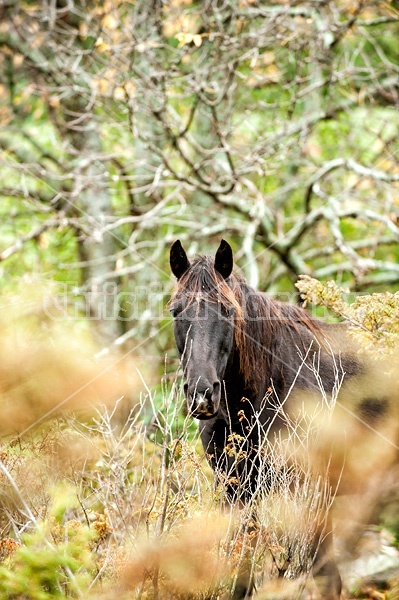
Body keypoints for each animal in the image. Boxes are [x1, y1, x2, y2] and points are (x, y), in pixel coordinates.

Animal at [169, 240, 396, 600]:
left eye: (227, 310)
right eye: (177, 311)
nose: (202, 394)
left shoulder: (310, 496)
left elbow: (326, 579)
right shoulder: (236, 493)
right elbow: (241, 574)